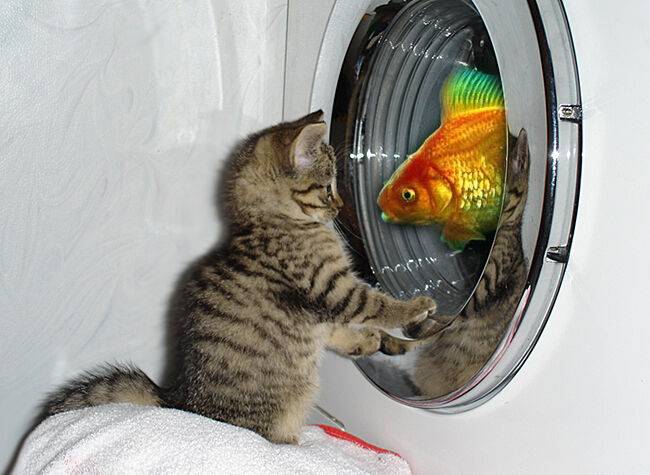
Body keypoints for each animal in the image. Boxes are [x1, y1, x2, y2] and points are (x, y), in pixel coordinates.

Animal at [44, 111, 447, 444]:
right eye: (328, 187)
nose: (340, 207)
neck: (268, 221)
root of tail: (180, 402)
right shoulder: (332, 287)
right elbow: (375, 304)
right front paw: (415, 307)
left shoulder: (322, 308)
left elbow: (337, 330)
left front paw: (362, 342)